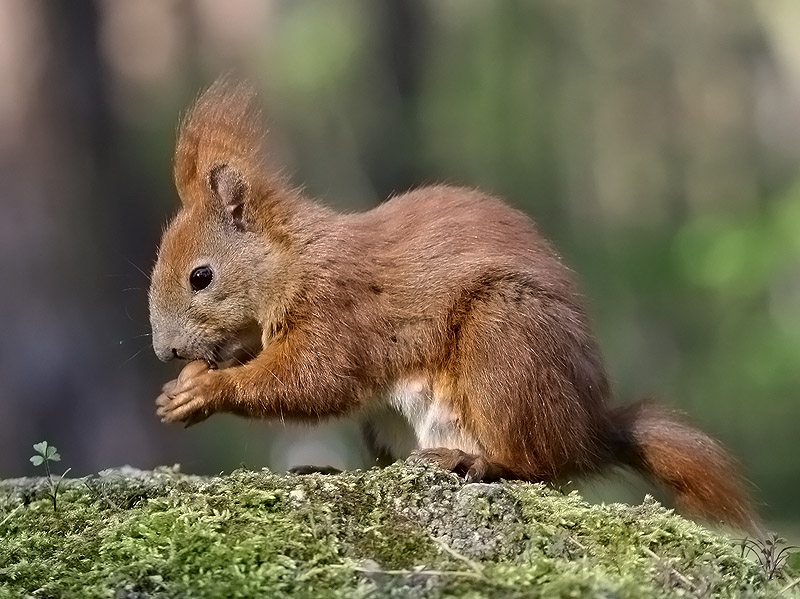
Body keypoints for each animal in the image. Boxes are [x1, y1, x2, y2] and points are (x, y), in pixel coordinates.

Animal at [148, 81, 756, 528]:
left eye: (201, 276)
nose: (165, 352)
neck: (294, 260)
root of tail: (589, 430)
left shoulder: (339, 311)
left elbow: (314, 379)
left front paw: (207, 390)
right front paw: (180, 388)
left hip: (506, 345)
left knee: (536, 465)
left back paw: (473, 460)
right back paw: (328, 470)